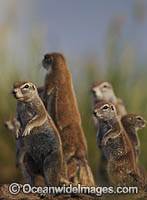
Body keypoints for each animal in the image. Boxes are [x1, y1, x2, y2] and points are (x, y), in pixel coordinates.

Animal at [40, 52, 94, 185]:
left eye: (46, 57)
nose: (41, 61)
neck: (62, 68)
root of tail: (81, 151)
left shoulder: (48, 79)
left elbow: (45, 94)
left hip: (65, 148)